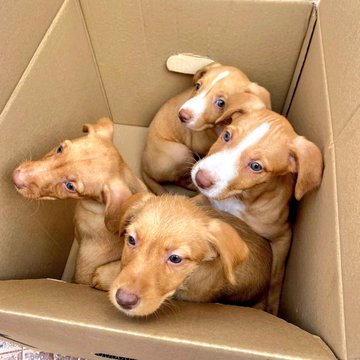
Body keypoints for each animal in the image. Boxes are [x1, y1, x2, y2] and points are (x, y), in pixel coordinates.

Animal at [141, 63, 270, 195]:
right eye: (197, 86)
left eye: (221, 103)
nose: (182, 115)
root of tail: (144, 167)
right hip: (180, 153)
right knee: (178, 179)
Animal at [191, 109, 324, 316]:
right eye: (226, 135)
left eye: (256, 167)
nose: (201, 179)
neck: (239, 199)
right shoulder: (206, 201)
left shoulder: (283, 237)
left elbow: (276, 277)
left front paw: (272, 308)